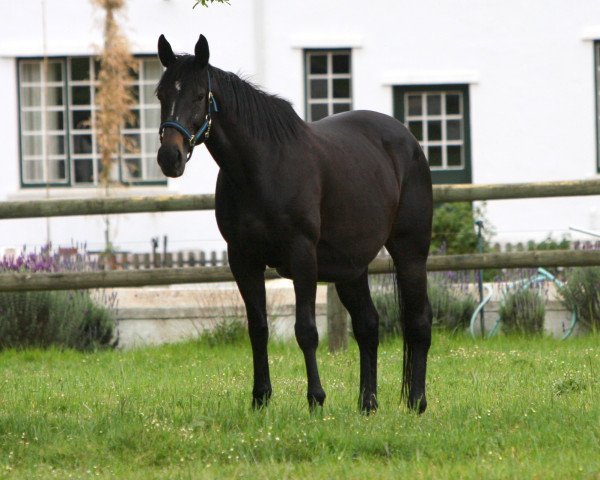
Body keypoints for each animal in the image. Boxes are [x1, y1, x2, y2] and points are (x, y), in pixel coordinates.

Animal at [157, 33, 434, 412]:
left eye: (199, 95)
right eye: (161, 94)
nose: (169, 158)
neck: (261, 169)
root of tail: (408, 141)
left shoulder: (302, 257)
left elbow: (306, 330)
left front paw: (316, 398)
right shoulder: (243, 259)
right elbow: (258, 328)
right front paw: (260, 398)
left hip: (410, 252)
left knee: (419, 321)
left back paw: (417, 402)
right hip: (351, 267)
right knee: (368, 325)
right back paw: (367, 404)